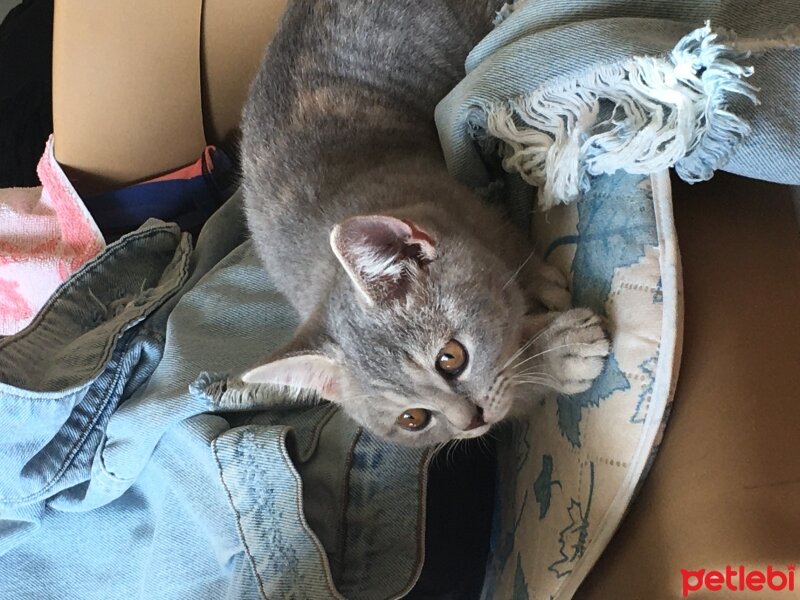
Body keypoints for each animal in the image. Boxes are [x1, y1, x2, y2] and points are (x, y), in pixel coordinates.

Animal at [241, 0, 608, 448]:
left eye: (451, 358)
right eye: (413, 419)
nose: (470, 422)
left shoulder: (470, 205)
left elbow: (515, 251)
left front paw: (543, 292)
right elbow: (510, 393)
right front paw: (557, 352)